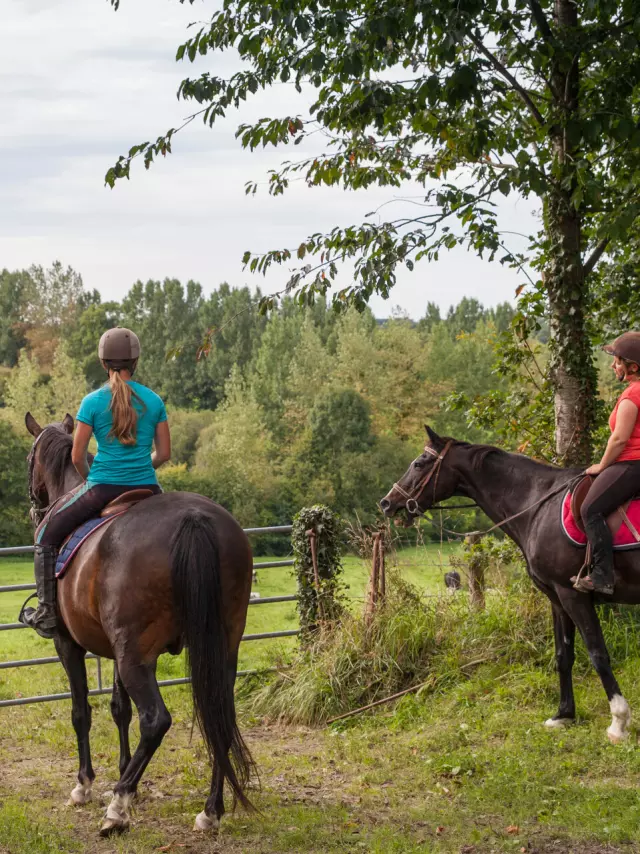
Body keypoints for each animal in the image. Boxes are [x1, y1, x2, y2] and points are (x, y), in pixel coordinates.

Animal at [25, 412, 255, 836]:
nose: (35, 506)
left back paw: (117, 809)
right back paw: (209, 810)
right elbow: (119, 709)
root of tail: (194, 519)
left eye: (30, 457)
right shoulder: (115, 650)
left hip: (137, 657)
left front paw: (86, 785)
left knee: (156, 721)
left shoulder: (69, 645)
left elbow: (81, 711)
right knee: (220, 714)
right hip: (219, 648)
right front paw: (124, 775)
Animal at [380, 432, 640, 744]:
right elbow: (563, 655)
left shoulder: (573, 595)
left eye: (419, 463)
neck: (538, 505)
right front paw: (563, 715)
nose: (386, 503)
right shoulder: (556, 597)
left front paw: (619, 722)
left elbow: (597, 653)